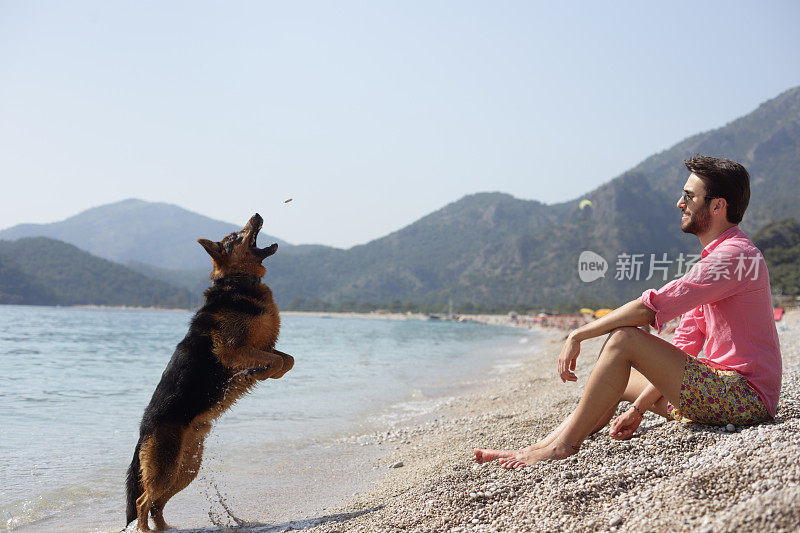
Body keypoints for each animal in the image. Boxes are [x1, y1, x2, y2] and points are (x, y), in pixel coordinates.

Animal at [126, 214, 296, 528]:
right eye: (235, 235)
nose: (257, 214)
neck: (237, 282)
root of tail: (143, 431)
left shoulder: (267, 346)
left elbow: (287, 361)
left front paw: (262, 372)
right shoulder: (232, 350)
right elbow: (278, 362)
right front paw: (259, 372)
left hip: (186, 469)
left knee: (156, 503)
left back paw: (166, 529)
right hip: (167, 467)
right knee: (144, 501)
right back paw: (146, 531)